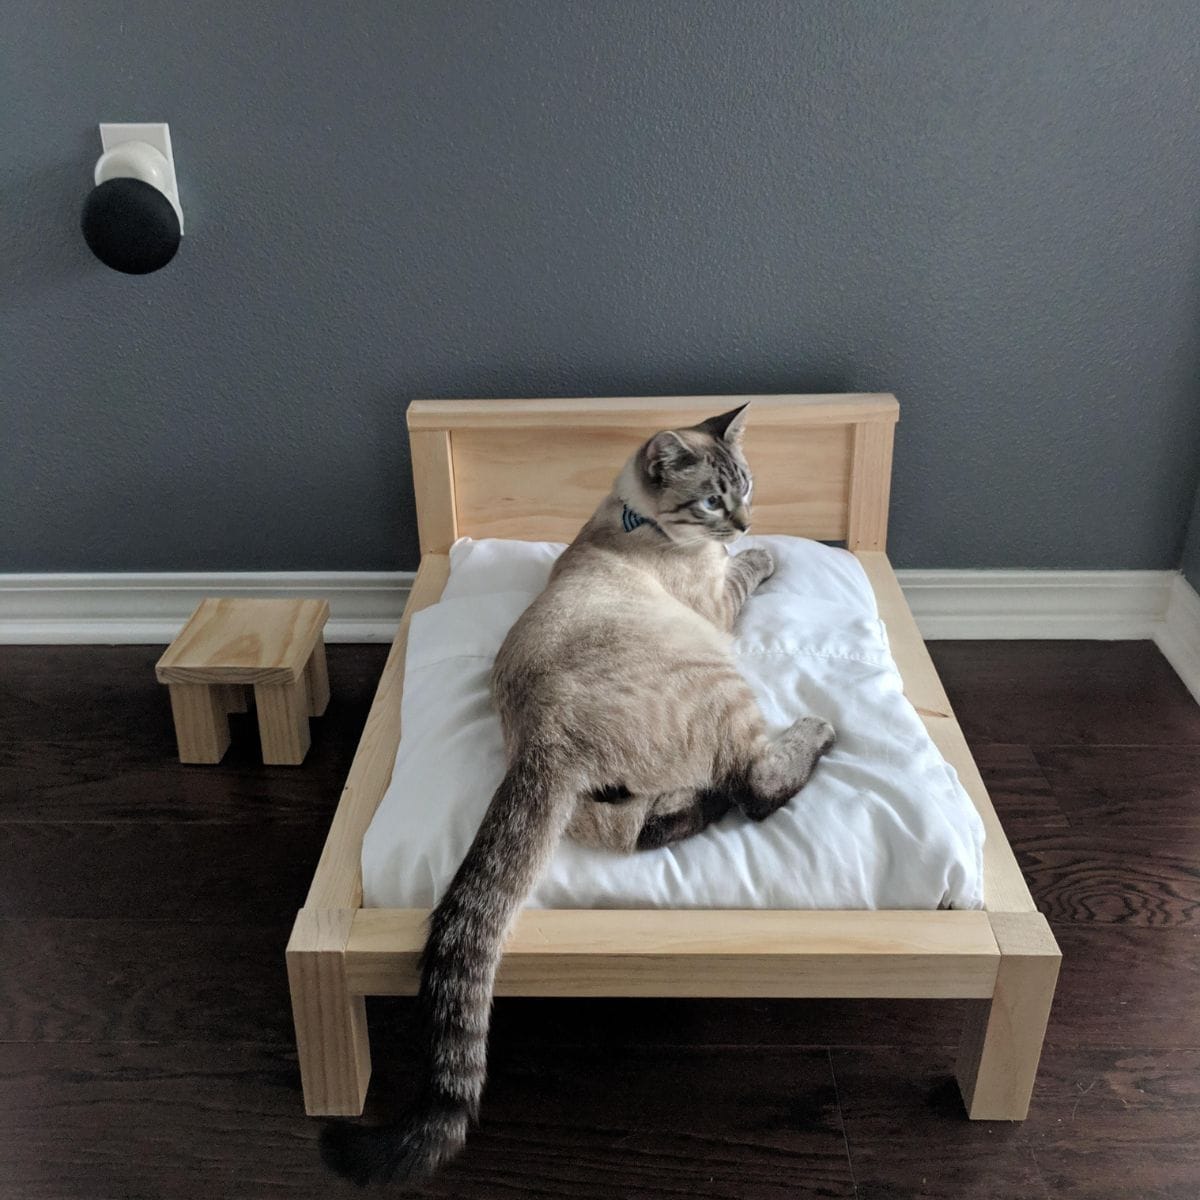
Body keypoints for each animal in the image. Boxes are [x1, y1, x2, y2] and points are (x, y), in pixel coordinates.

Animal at [324, 403, 840, 1180]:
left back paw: (698, 806)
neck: (634, 519)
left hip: (600, 805)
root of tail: (545, 741)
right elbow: (749, 570)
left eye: (746, 486)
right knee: (750, 784)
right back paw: (814, 730)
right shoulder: (720, 601)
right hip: (719, 682)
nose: (746, 523)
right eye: (712, 501)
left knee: (644, 825)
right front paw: (769, 553)